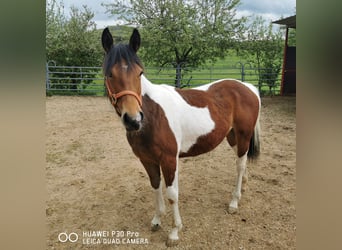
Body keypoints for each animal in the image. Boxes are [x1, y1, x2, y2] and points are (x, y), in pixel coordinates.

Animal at [100, 27, 260, 246]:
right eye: (109, 74)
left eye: (140, 72)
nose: (133, 120)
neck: (153, 116)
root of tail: (248, 87)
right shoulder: (147, 160)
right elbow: (155, 186)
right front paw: (157, 220)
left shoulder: (169, 160)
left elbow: (172, 194)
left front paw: (174, 232)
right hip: (232, 137)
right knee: (241, 162)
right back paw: (243, 186)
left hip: (243, 136)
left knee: (240, 165)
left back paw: (234, 202)